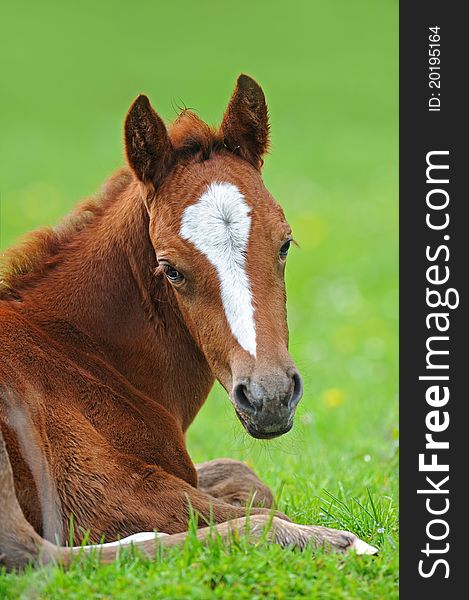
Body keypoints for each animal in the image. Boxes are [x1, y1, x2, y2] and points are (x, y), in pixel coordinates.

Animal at [0, 75, 376, 568]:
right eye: (171, 269)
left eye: (285, 244)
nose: (269, 397)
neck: (76, 352)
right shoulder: (93, 491)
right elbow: (252, 509)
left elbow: (247, 479)